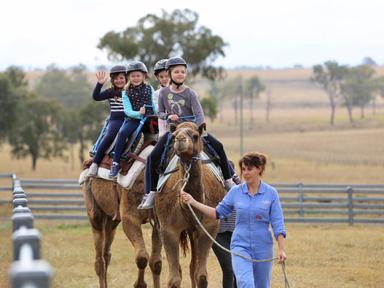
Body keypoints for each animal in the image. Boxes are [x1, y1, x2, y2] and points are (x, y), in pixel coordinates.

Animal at [153, 122, 225, 288]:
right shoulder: (168, 229)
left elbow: (202, 276)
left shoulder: (208, 228)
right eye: (173, 136)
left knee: (193, 267)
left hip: (194, 231)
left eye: (195, 135)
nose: (180, 139)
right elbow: (174, 279)